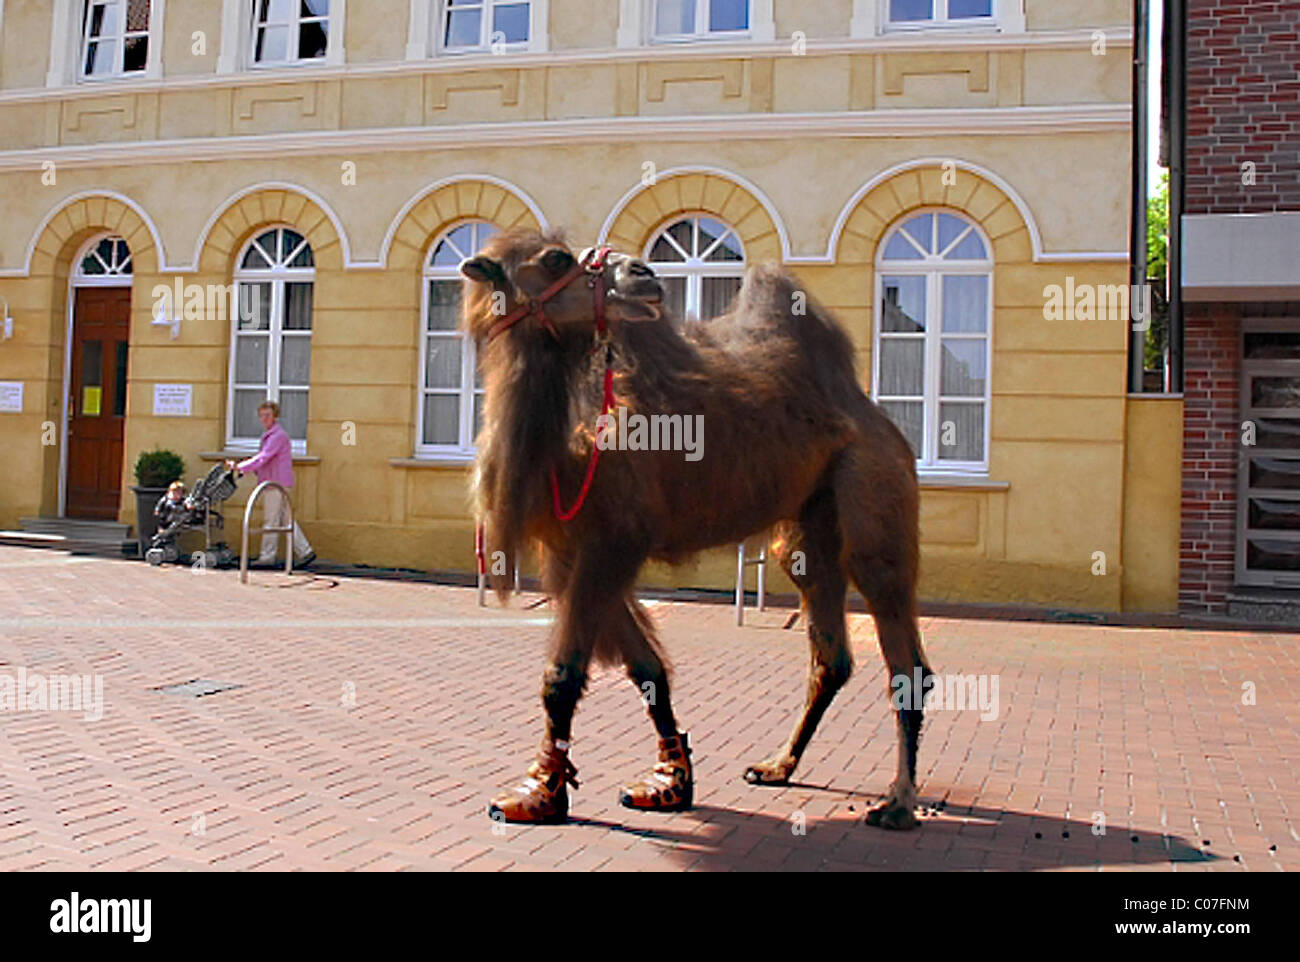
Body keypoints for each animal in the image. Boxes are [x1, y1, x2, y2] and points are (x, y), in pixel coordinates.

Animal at [461, 229, 934, 830]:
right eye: (555, 259)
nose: (643, 274)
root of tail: (875, 415)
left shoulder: (613, 541)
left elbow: (562, 676)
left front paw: (540, 792)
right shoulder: (572, 551)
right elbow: (646, 667)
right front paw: (671, 780)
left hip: (874, 496)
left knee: (903, 648)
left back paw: (898, 802)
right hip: (807, 528)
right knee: (830, 654)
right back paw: (778, 766)